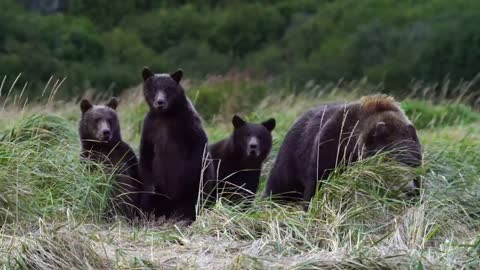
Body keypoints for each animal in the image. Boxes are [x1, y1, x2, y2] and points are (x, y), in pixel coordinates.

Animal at [140, 67, 213, 221]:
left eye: (168, 88)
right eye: (154, 88)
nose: (160, 102)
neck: (166, 115)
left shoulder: (188, 124)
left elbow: (198, 149)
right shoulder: (150, 127)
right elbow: (147, 154)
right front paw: (151, 188)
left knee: (195, 200)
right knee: (148, 202)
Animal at [264, 95, 422, 202]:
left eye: (412, 163)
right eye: (393, 158)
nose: (409, 190)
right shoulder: (330, 149)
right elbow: (317, 184)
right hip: (291, 159)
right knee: (279, 186)